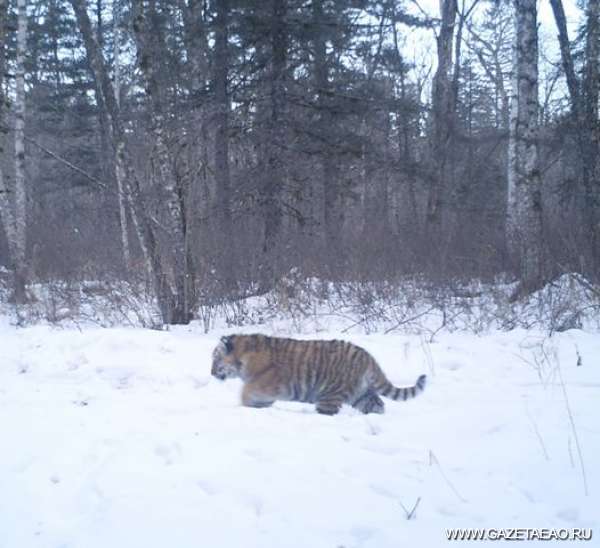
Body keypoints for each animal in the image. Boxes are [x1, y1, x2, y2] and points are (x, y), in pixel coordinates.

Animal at [211, 334, 426, 416]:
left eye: (215, 359)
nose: (211, 373)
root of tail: (368, 357)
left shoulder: (268, 383)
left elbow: (246, 391)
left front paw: (247, 406)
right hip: (360, 394)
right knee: (378, 404)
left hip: (329, 395)